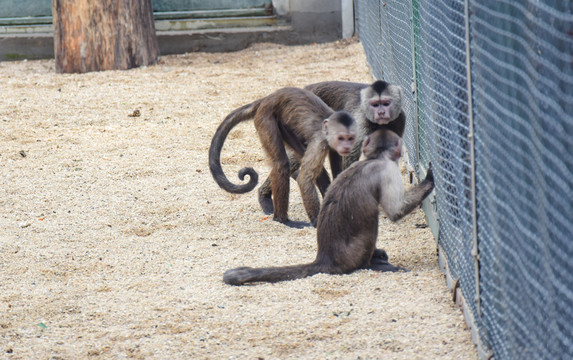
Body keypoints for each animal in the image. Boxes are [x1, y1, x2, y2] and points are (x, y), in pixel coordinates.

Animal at [208, 87, 356, 228]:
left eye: (350, 138)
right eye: (341, 138)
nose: (346, 146)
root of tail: (267, 98)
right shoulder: (320, 142)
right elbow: (304, 179)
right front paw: (316, 221)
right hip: (265, 117)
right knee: (282, 164)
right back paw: (282, 219)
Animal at [223, 128, 434, 286]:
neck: (373, 159)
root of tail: (324, 258)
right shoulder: (387, 171)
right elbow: (395, 212)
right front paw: (430, 180)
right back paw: (371, 264)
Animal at [256, 80, 404, 215]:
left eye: (386, 103)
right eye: (375, 105)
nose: (381, 112)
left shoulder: (399, 119)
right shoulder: (360, 119)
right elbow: (350, 157)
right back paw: (264, 195)